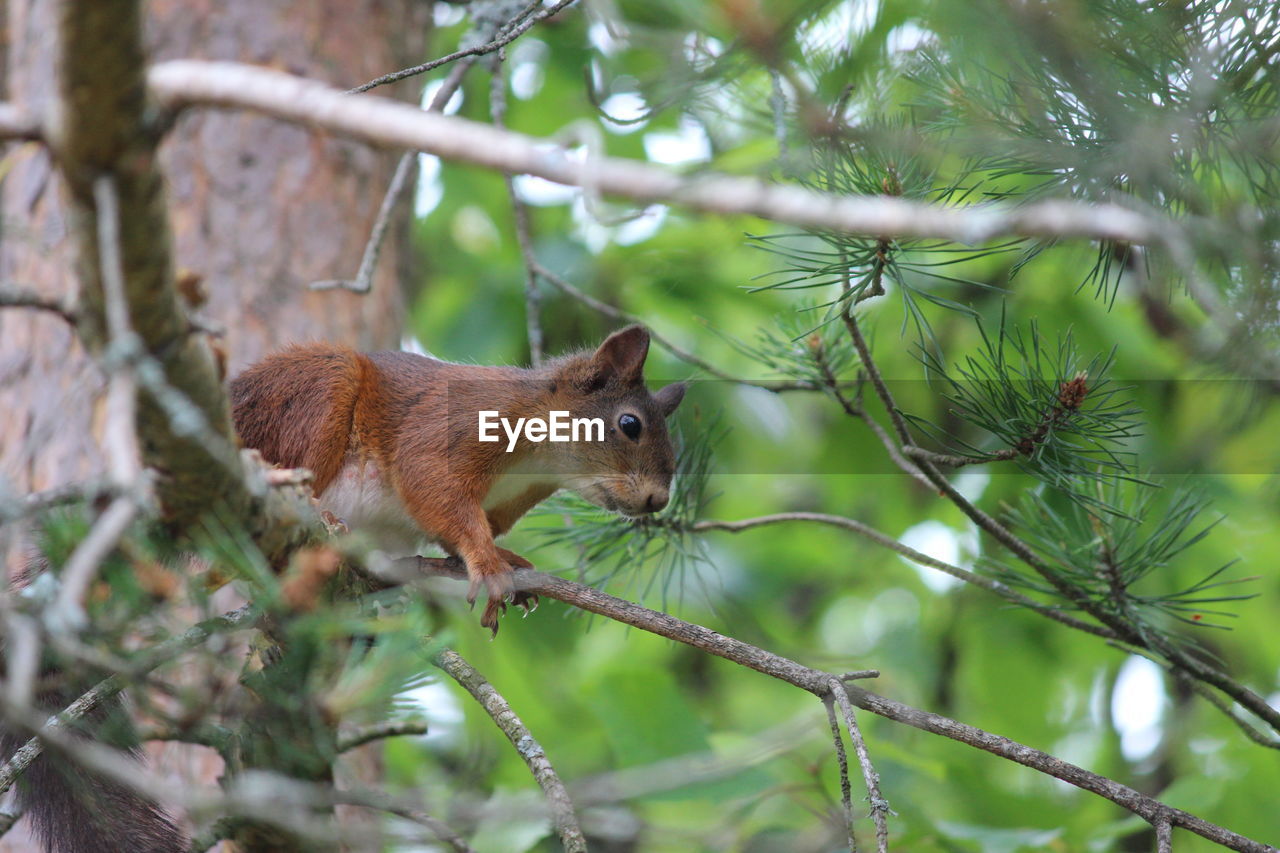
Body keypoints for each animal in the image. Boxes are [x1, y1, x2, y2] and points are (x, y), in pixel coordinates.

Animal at [230, 325, 691, 630]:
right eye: (630, 424)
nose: (658, 501)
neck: (540, 462)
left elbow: (451, 533)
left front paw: (505, 560)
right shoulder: (460, 424)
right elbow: (430, 482)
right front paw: (488, 566)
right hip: (318, 393)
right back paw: (316, 512)